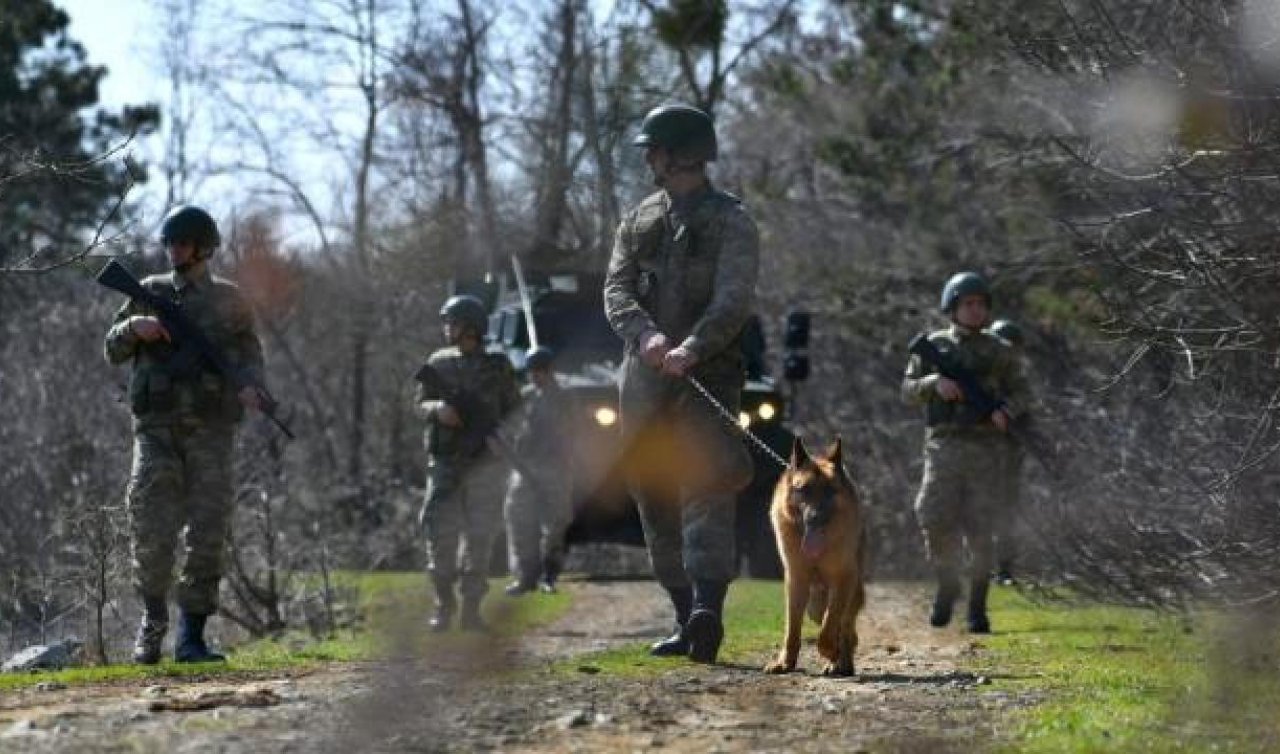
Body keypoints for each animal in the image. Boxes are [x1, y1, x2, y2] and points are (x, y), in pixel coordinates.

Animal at [762, 435, 865, 675]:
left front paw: (831, 652)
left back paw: (841, 663)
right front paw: (785, 662)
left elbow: (830, 626)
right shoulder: (796, 581)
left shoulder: (843, 580)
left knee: (846, 629)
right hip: (814, 607)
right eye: (804, 490)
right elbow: (792, 628)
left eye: (829, 491)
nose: (815, 518)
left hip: (849, 594)